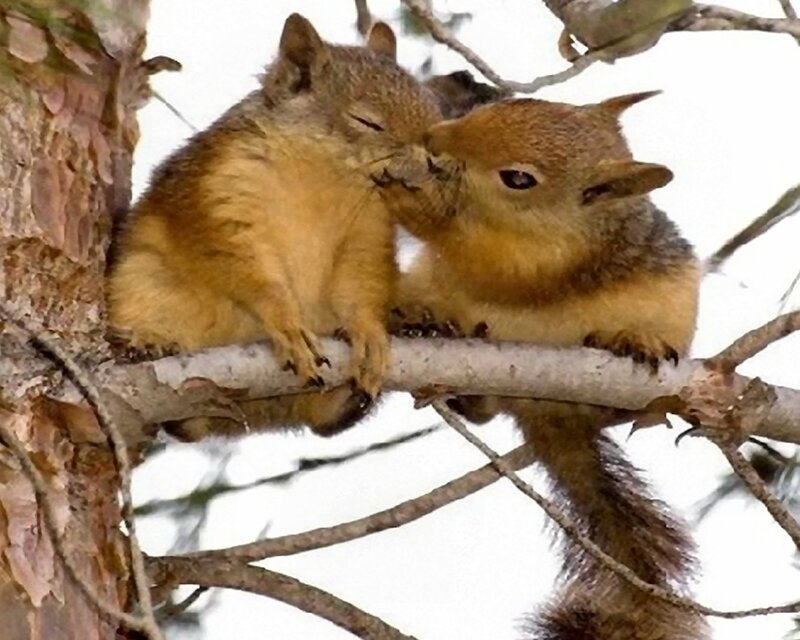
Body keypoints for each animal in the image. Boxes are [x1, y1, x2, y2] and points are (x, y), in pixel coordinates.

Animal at [107, 13, 441, 440]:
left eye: (432, 107)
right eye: (368, 121)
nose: (434, 161)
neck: (326, 176)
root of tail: (262, 415)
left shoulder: (368, 231)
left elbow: (361, 283)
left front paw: (367, 332)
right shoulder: (221, 193)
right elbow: (246, 269)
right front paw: (287, 323)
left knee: (323, 422)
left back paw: (353, 393)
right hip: (141, 281)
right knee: (186, 424)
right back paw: (150, 346)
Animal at [376, 94, 709, 639]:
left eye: (518, 179)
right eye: (500, 105)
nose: (435, 138)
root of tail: (548, 415)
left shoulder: (546, 259)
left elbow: (494, 262)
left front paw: (411, 201)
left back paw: (630, 343)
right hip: (426, 285)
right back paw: (435, 340)